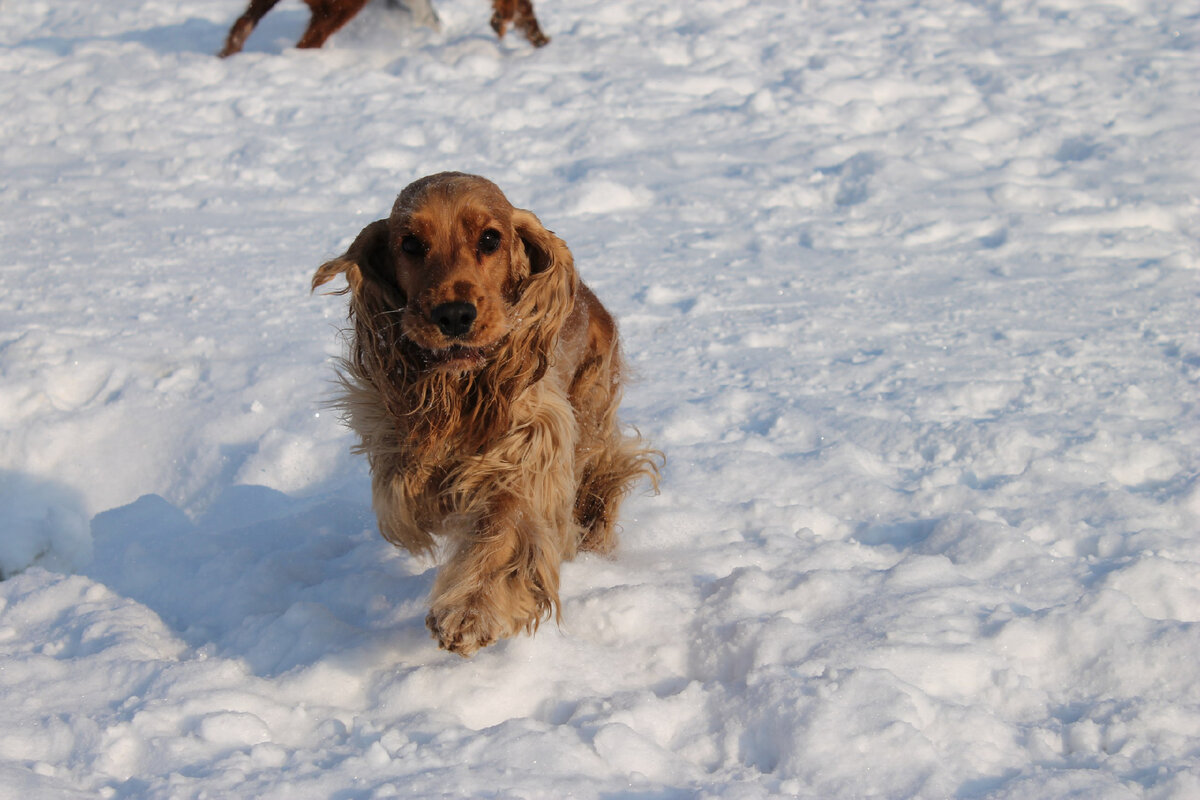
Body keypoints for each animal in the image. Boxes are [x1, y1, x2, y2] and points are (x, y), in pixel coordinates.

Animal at [312, 172, 657, 652]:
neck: (459, 388)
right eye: (411, 244)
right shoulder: (392, 437)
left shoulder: (531, 443)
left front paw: (471, 612)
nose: (455, 315)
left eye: (490, 239)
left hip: (590, 410)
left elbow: (507, 520)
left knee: (603, 474)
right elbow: (410, 491)